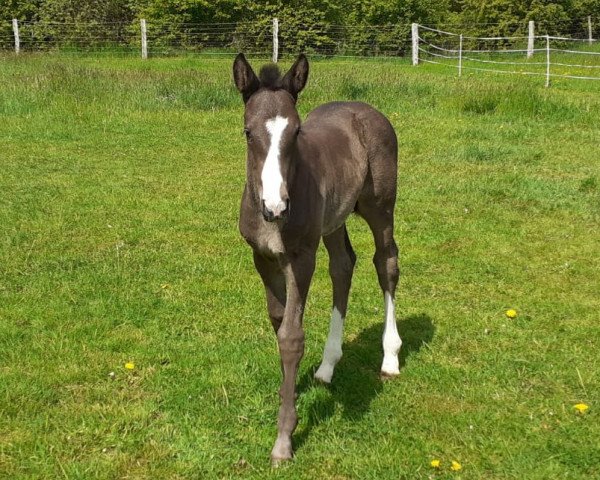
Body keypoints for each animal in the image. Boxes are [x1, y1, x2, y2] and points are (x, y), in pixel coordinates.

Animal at [234, 54, 404, 464]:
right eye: (248, 132)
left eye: (296, 132)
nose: (275, 207)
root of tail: (367, 110)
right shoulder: (262, 257)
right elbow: (278, 322)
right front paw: (291, 394)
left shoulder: (301, 258)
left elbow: (292, 335)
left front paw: (284, 438)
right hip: (335, 220)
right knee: (343, 265)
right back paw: (327, 366)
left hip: (380, 208)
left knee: (386, 262)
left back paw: (390, 357)